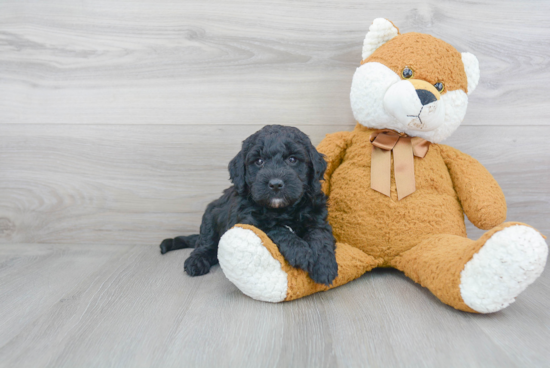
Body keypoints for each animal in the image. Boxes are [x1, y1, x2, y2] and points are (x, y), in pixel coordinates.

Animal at [161, 125, 340, 286]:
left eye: (292, 159)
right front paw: (301, 252)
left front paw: (324, 266)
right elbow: (277, 229)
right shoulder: (250, 220)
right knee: (205, 244)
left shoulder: (317, 217)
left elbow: (320, 236)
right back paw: (196, 261)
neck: (282, 209)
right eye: (259, 161)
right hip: (210, 217)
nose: (276, 184)